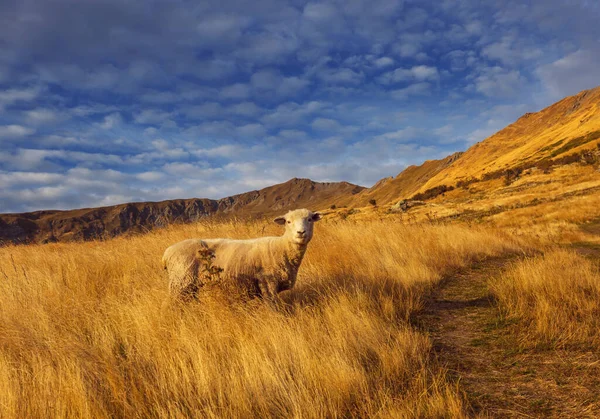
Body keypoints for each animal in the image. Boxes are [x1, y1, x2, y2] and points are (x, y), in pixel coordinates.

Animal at [162, 209, 322, 302]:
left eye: (309, 219)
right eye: (288, 222)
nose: (300, 233)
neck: (282, 247)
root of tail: (167, 253)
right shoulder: (267, 283)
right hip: (180, 283)